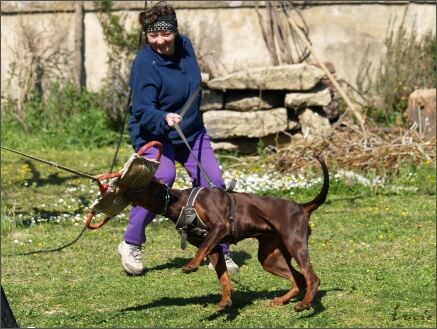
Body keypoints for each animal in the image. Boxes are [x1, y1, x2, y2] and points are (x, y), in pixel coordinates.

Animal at [122, 155, 328, 312]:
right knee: (300, 279)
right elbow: (223, 278)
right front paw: (225, 301)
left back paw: (305, 303)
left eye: (135, 184)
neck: (182, 203)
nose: (116, 183)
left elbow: (202, 251)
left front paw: (191, 265)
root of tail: (301, 207)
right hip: (270, 257)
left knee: (312, 278)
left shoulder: (221, 227)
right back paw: (282, 300)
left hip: (294, 243)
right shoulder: (214, 249)